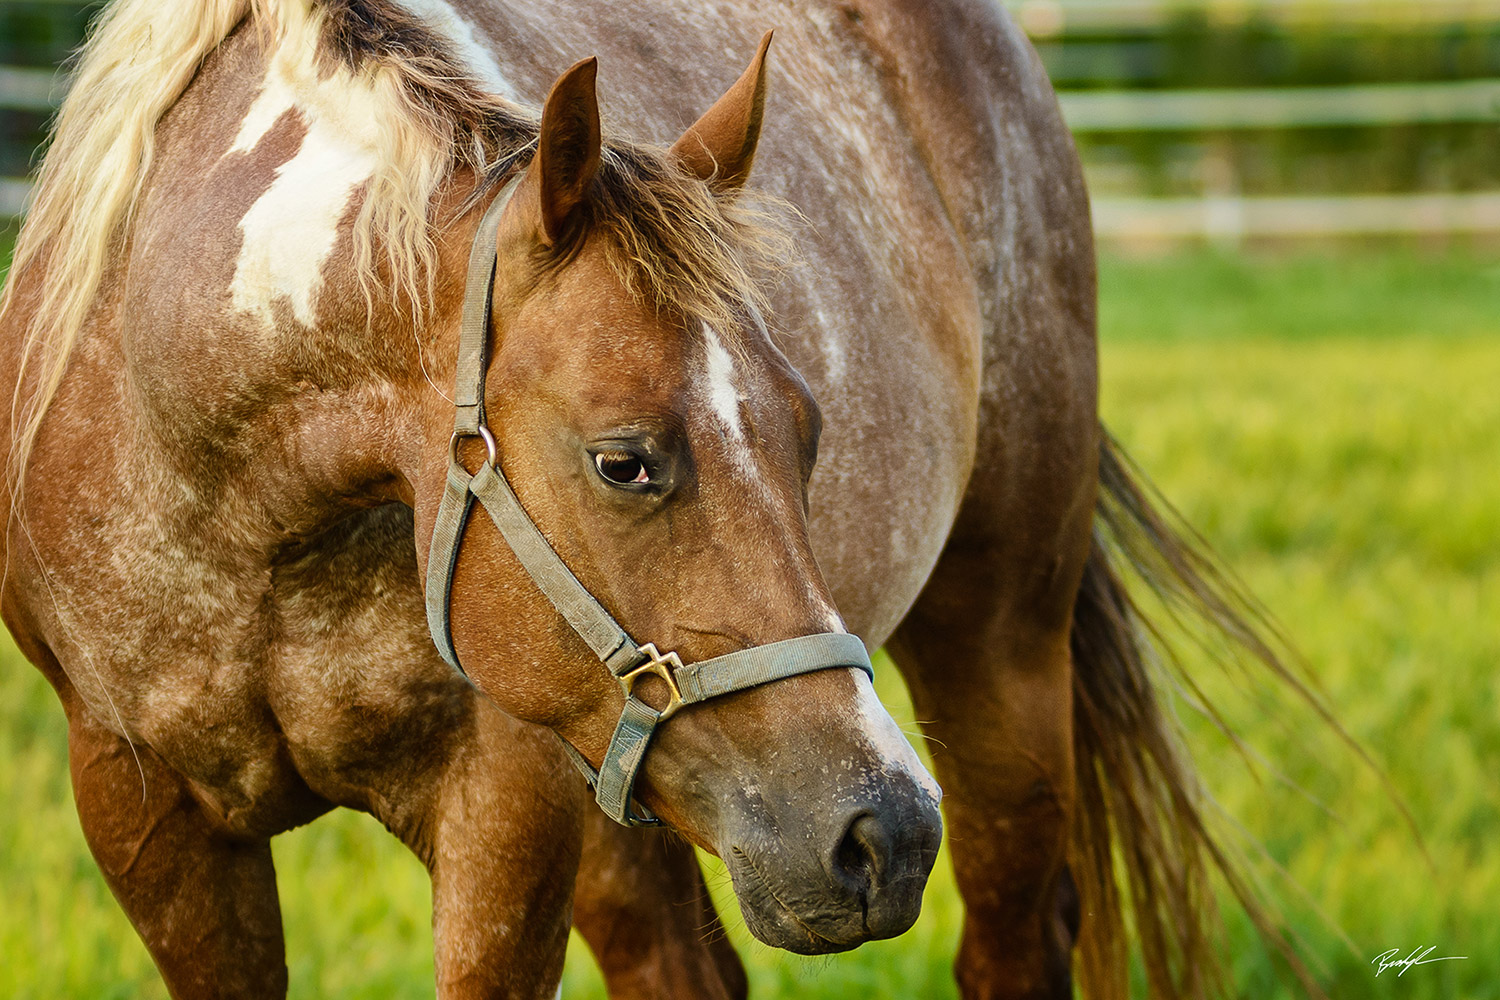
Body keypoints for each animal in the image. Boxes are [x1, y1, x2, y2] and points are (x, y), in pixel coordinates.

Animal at [2, 1, 1302, 1000]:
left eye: (809, 429)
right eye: (624, 461)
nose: (880, 830)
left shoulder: (509, 807)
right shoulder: (141, 808)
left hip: (1001, 652)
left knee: (1013, 941)